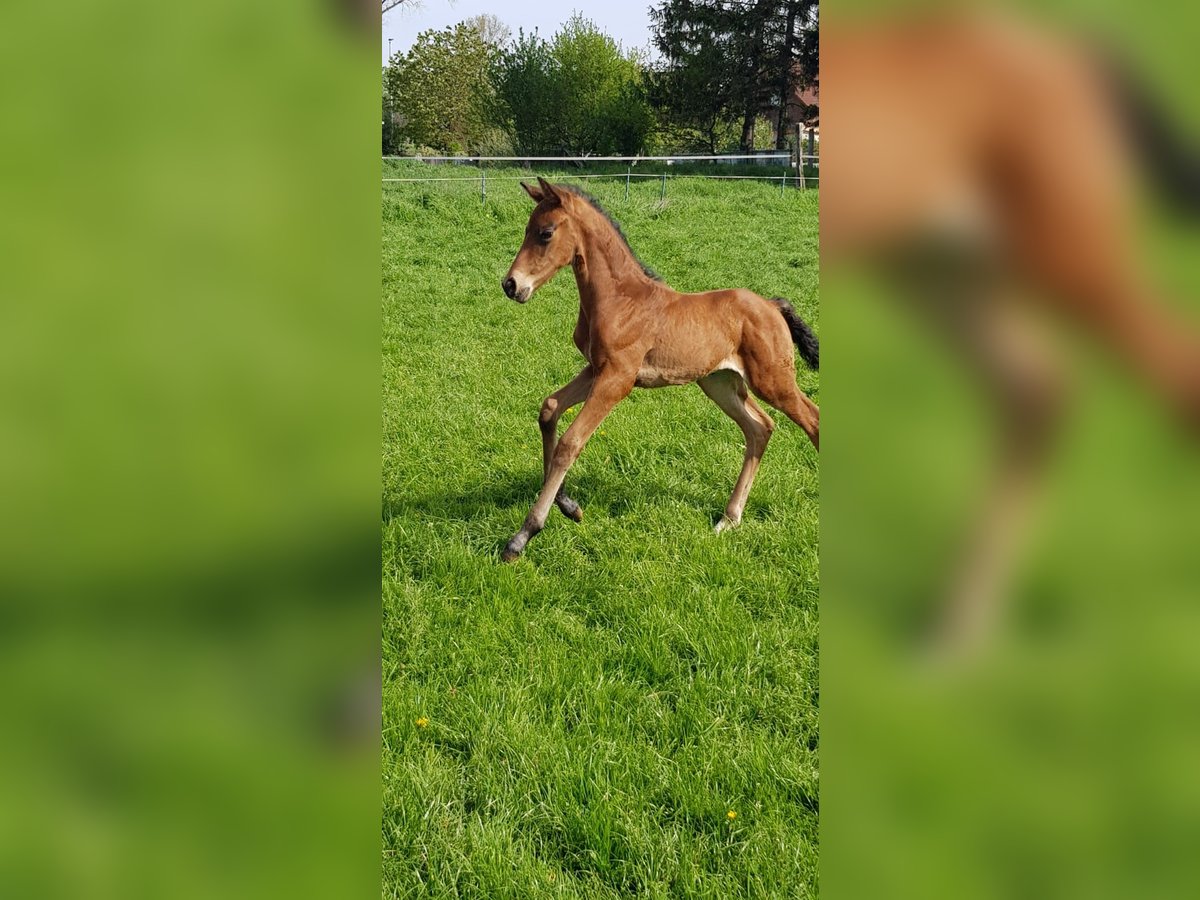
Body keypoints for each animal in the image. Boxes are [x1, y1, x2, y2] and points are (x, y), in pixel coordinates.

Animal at [494, 176, 816, 564]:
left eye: (545, 233)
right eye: (527, 229)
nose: (511, 285)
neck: (621, 299)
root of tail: (771, 305)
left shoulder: (617, 378)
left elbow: (570, 443)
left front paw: (522, 536)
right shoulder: (596, 370)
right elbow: (550, 408)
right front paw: (569, 505)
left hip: (773, 381)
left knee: (812, 420)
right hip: (721, 384)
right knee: (760, 428)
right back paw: (729, 518)